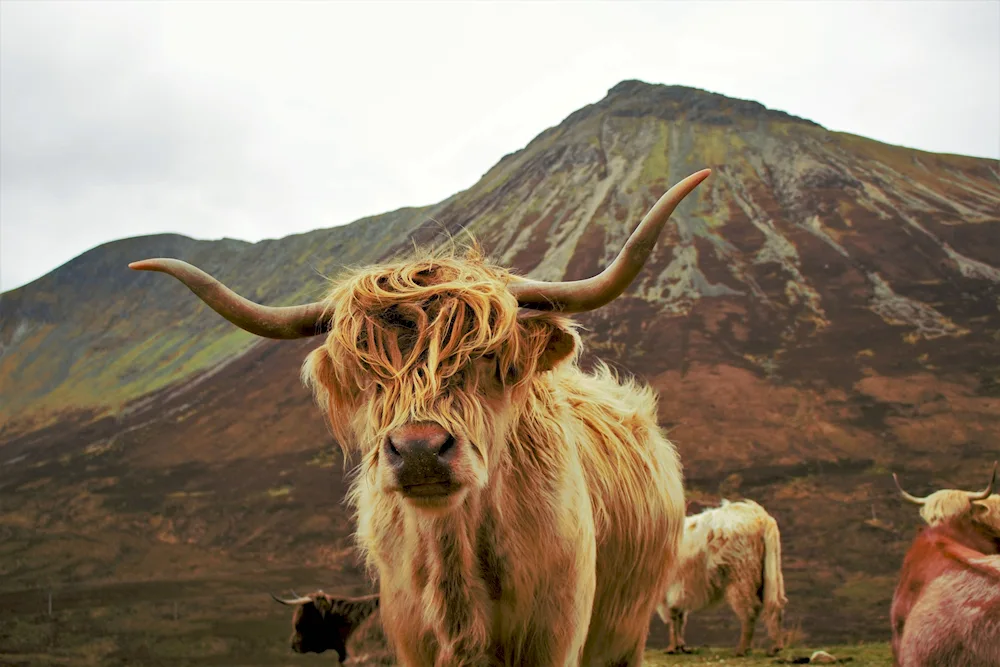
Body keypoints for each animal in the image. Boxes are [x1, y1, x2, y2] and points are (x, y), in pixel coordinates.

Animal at [656, 500, 788, 656]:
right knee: (775, 604)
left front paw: (673, 647)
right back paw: (776, 647)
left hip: (741, 575)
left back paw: (742, 649)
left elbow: (673, 616)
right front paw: (680, 646)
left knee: (749, 610)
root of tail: (761, 517)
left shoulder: (669, 590)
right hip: (770, 574)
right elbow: (679, 617)